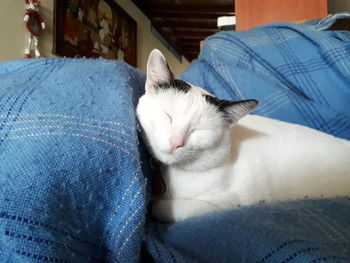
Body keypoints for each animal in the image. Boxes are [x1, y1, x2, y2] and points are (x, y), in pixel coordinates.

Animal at [136, 49, 350, 223]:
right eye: (168, 116)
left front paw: (156, 205)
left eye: (199, 130)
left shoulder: (228, 201)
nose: (176, 143)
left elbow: (168, 209)